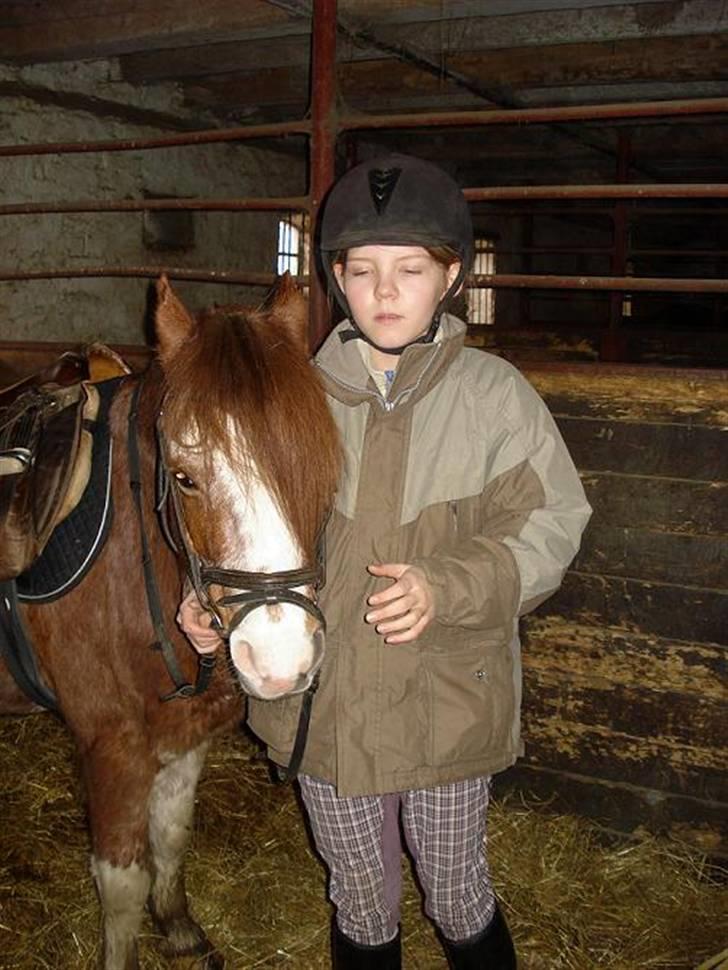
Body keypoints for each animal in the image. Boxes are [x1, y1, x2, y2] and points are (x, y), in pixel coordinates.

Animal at [0, 274, 341, 969]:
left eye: (317, 465)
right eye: (183, 477)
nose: (281, 659)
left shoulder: (189, 732)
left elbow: (174, 832)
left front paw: (178, 922)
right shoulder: (112, 745)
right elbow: (121, 886)